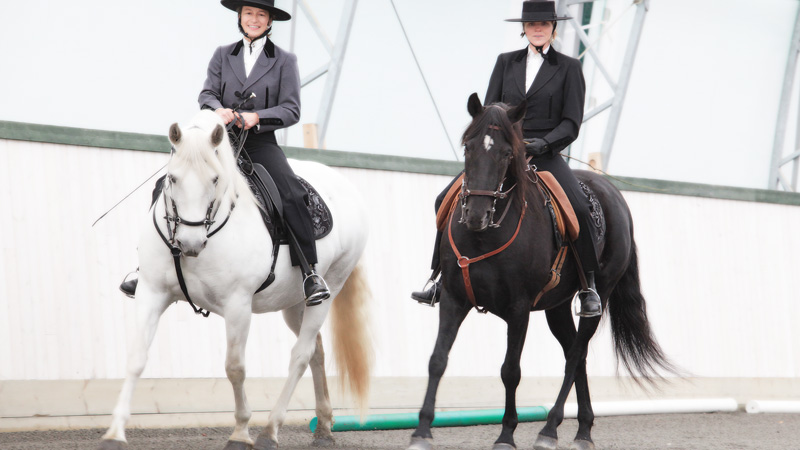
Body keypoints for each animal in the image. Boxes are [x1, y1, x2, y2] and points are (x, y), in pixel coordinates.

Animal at [99, 110, 372, 450]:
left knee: (300, 355)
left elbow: (235, 367)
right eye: (172, 179)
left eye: (215, 179)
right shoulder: (152, 293)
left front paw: (241, 433)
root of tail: (346, 187)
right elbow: (137, 357)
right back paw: (322, 427)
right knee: (316, 351)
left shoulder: (237, 305)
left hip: (327, 291)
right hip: (294, 304)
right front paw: (115, 433)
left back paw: (270, 430)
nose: (190, 244)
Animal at [406, 92, 676, 450]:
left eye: (508, 153)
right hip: (556, 308)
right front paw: (422, 431)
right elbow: (437, 359)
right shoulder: (453, 298)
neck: (484, 235)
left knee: (575, 355)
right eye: (468, 148)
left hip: (598, 296)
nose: (476, 215)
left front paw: (506, 434)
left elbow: (510, 370)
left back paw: (549, 429)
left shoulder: (518, 309)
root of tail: (614, 195)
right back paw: (583, 430)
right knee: (577, 357)